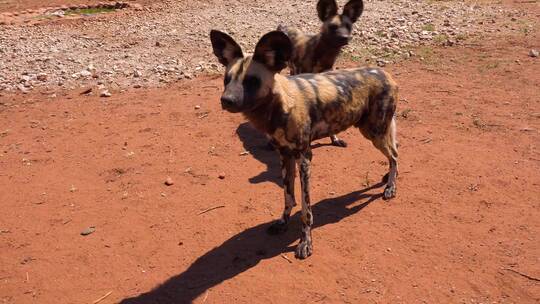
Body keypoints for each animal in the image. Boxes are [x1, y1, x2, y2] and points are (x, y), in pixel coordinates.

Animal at [211, 29, 400, 258]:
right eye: (227, 79)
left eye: (252, 81)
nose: (226, 100)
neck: (280, 107)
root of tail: (385, 74)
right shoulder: (285, 155)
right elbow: (288, 196)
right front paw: (282, 222)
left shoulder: (304, 159)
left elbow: (305, 210)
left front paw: (305, 243)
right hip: (375, 132)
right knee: (394, 153)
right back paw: (387, 179)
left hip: (374, 132)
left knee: (394, 156)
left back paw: (390, 187)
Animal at [278, 0, 368, 148]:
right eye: (333, 27)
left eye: (348, 26)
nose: (344, 38)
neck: (324, 56)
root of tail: (283, 26)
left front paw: (335, 139)